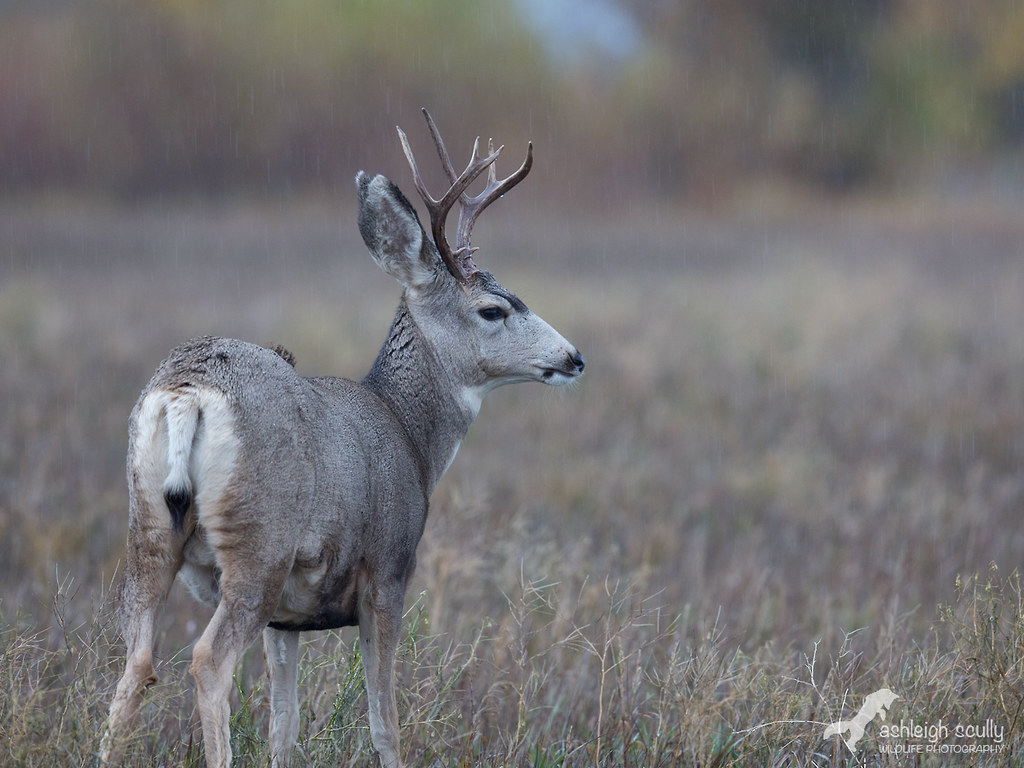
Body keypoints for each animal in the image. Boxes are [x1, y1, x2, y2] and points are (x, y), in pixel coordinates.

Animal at [99, 109, 584, 768]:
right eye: (493, 309)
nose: (573, 357)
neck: (409, 434)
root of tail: (187, 393)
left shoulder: (287, 621)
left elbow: (283, 727)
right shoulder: (387, 573)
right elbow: (385, 721)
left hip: (147, 527)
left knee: (136, 663)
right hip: (259, 544)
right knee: (207, 662)